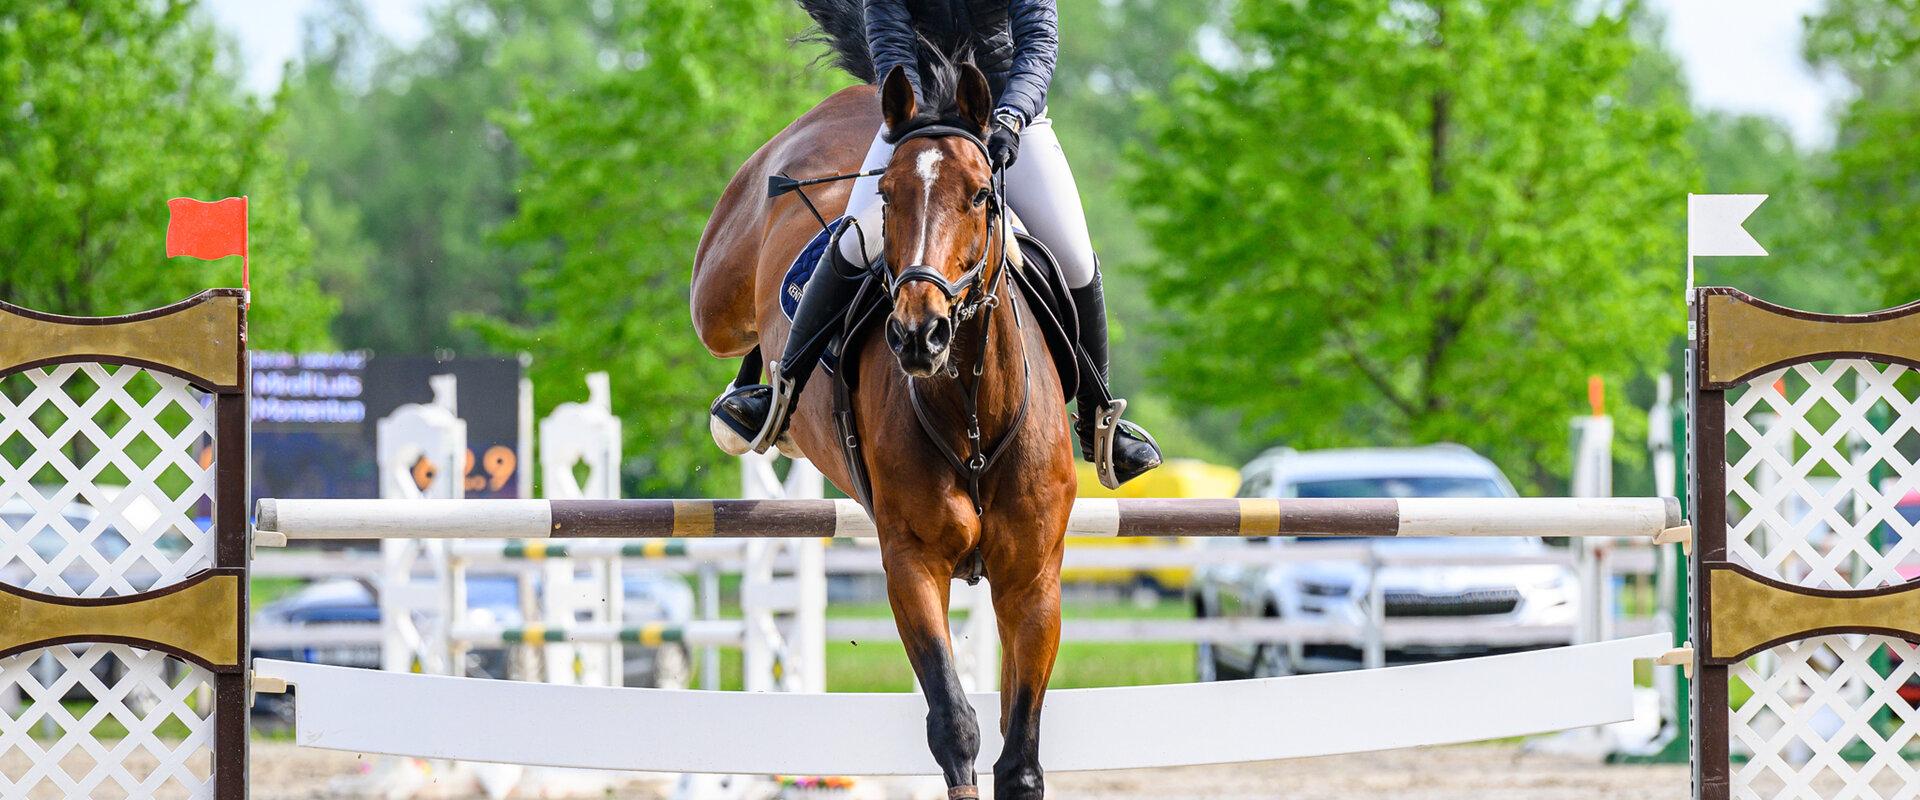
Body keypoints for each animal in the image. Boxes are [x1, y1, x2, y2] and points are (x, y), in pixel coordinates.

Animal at [691, 49, 1082, 798]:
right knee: (738, 331)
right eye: (889, 197)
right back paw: (751, 405)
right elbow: (954, 728)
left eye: (981, 195)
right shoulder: (911, 563)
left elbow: (1019, 760)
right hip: (715, 298)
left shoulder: (1032, 580)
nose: (918, 336)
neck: (970, 413)